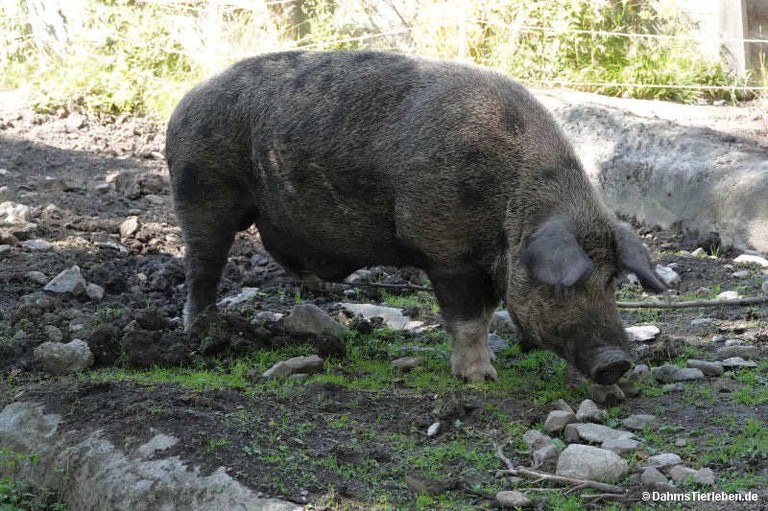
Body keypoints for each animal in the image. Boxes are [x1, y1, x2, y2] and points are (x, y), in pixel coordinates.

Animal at [166, 50, 666, 384]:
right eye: (566, 285)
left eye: (612, 282)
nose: (617, 363)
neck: (512, 209)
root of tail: (186, 98)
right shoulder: (446, 249)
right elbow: (468, 318)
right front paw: (480, 379)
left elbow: (487, 315)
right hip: (201, 188)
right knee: (202, 264)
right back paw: (202, 332)